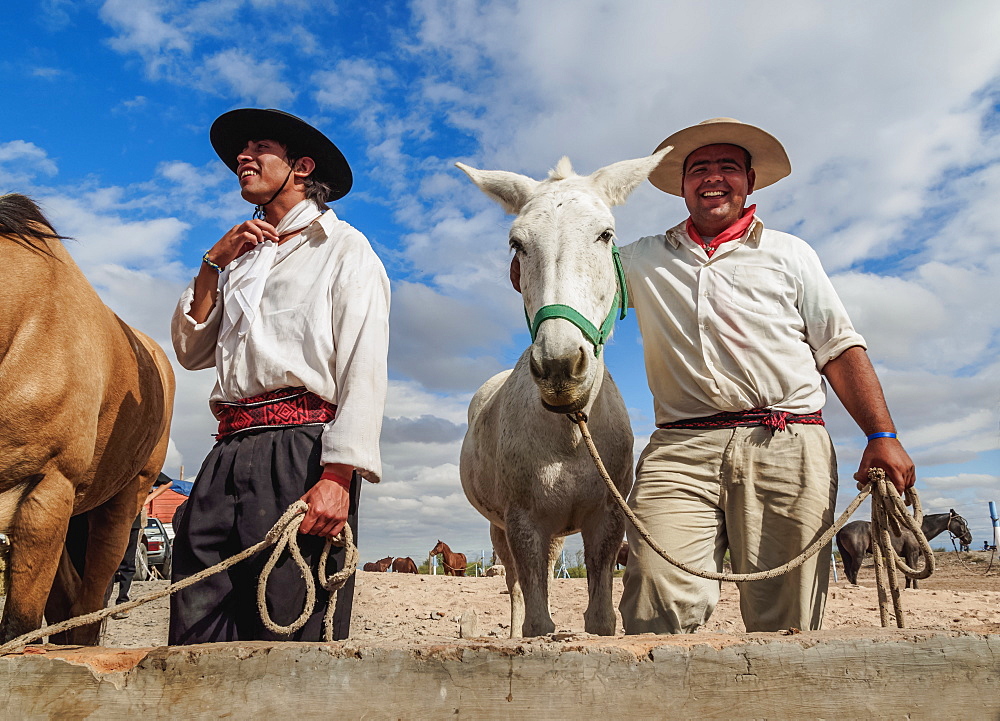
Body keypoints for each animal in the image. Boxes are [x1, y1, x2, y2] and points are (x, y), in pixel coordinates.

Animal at [460, 149, 672, 632]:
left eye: (605, 234)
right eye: (517, 244)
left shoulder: (607, 522)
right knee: (516, 587)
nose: (559, 366)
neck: (570, 431)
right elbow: (537, 620)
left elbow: (601, 618)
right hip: (501, 531)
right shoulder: (523, 524)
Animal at [836, 510, 968, 588]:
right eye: (961, 523)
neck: (917, 529)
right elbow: (914, 571)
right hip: (858, 556)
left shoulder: (907, 556)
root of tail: (841, 529)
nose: (968, 539)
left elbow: (908, 574)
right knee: (853, 573)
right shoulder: (913, 554)